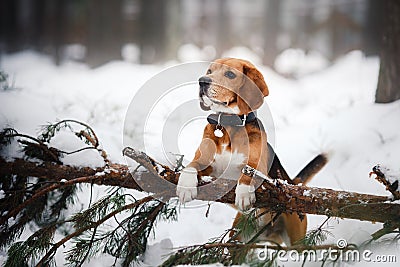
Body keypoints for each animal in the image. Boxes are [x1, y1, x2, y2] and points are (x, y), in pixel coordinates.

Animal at [177, 58, 326, 247]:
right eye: (209, 71)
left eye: (230, 74)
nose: (202, 81)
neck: (229, 126)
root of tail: (292, 181)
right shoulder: (206, 163)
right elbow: (190, 166)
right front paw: (185, 187)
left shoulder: (259, 166)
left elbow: (248, 171)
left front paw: (244, 192)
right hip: (236, 240)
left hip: (297, 240)